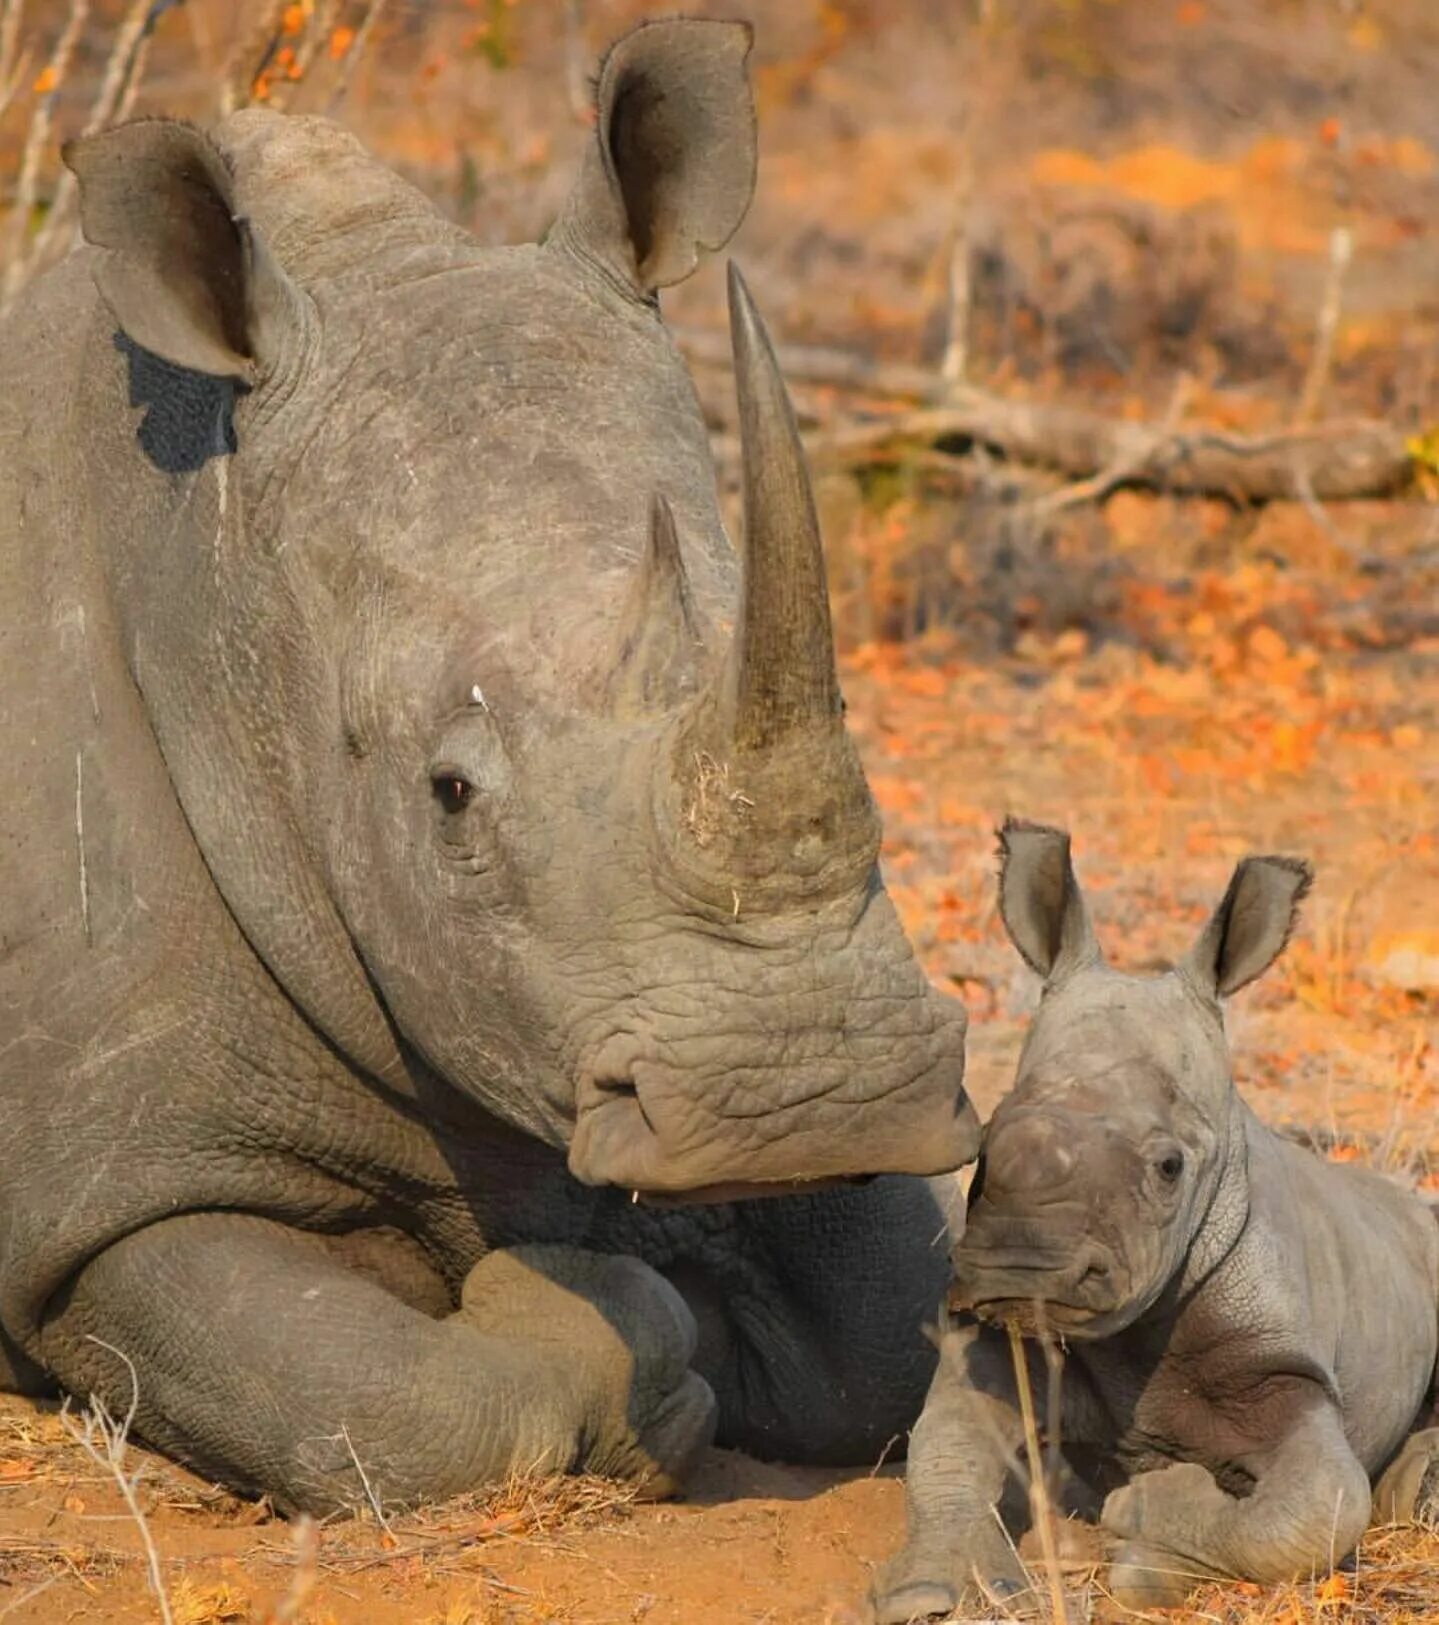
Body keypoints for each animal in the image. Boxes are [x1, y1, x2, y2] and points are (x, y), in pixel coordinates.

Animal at [0, 19, 980, 1508]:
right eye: (447, 793)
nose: (809, 1101)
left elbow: (890, 1322)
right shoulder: (95, 1189)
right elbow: (382, 1401)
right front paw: (625, 1331)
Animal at [877, 832, 1439, 1618]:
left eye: (1169, 1167)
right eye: (983, 1141)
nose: (1021, 1264)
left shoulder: (1287, 1369)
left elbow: (1314, 1506)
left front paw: (1140, 1525)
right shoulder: (996, 1337)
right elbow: (944, 1444)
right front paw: (929, 1592)